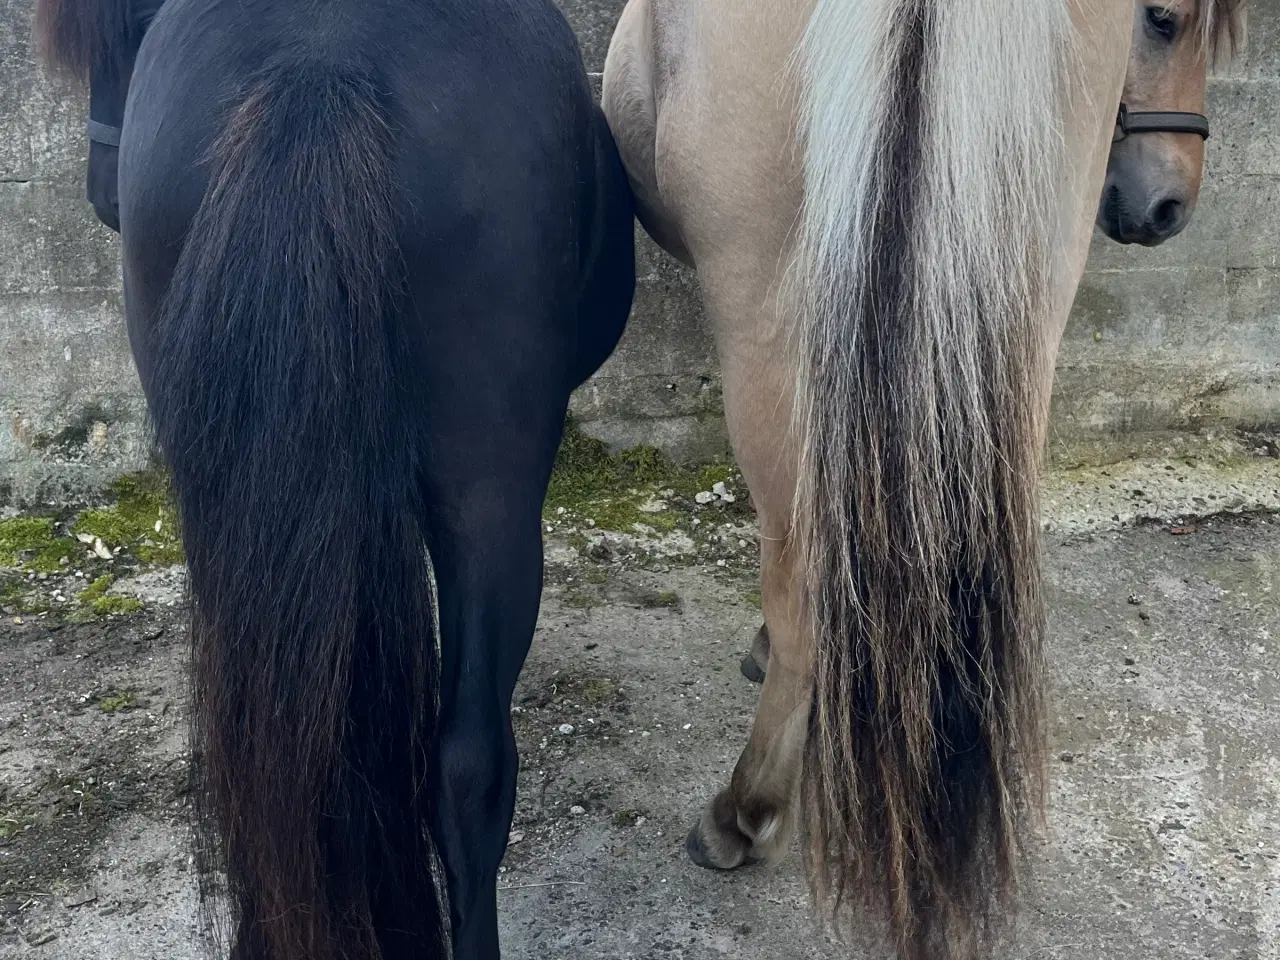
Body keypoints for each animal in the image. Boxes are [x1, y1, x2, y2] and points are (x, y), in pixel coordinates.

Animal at [602, 1, 1243, 959]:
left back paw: (745, 812)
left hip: (769, 321)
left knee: (803, 580)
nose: (1167, 207)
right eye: (1162, 20)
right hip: (1018, 314)